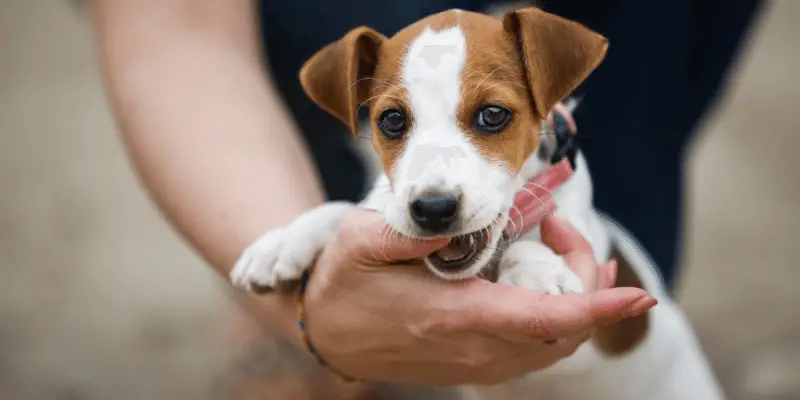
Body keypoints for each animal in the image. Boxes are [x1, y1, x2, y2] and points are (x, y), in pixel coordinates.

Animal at [230, 7, 724, 400]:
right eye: (392, 120)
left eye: (492, 115)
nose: (433, 209)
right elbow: (345, 211)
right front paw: (284, 241)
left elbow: (536, 242)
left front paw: (538, 272)